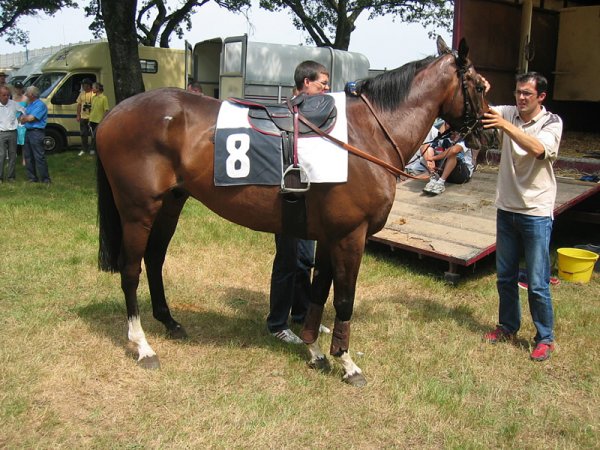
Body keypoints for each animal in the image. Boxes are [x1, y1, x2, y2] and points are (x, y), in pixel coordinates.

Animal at [96, 36, 494, 386]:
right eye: (479, 85)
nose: (488, 135)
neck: (366, 134)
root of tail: (113, 113)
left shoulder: (331, 236)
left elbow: (318, 294)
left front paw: (314, 350)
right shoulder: (351, 237)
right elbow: (344, 299)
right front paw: (346, 362)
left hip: (170, 204)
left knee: (154, 260)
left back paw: (169, 322)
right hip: (138, 210)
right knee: (131, 270)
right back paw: (142, 345)